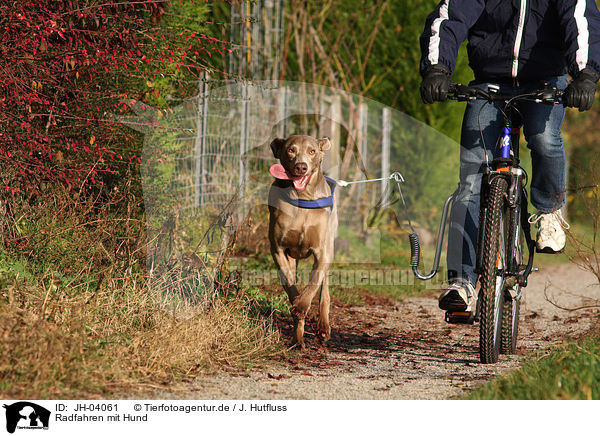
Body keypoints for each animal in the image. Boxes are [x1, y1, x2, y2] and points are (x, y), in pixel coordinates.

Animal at [268, 135, 338, 350]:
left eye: (312, 151)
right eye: (291, 150)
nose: (301, 167)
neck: (302, 198)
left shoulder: (322, 252)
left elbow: (315, 283)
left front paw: (301, 305)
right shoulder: (278, 249)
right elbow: (290, 284)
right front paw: (297, 309)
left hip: (331, 243)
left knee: (325, 291)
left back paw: (323, 328)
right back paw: (298, 339)